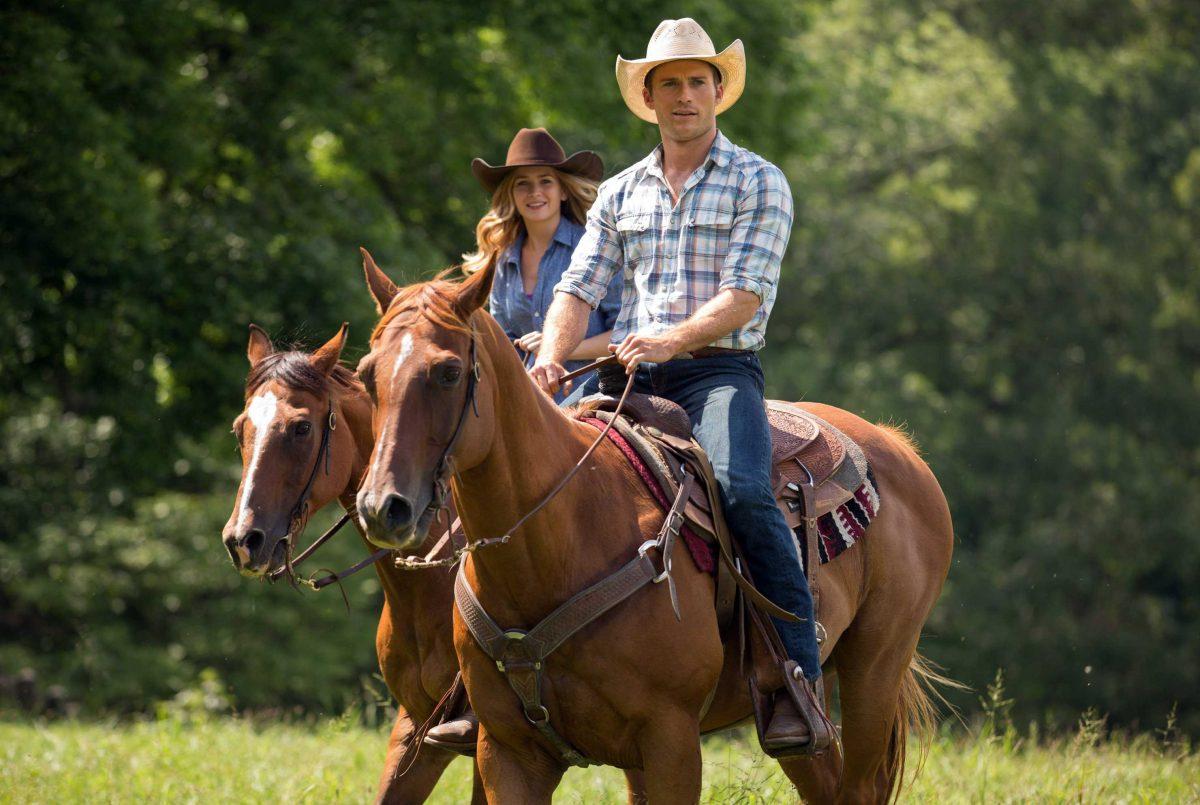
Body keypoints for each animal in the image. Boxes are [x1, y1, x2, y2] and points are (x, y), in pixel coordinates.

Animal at [355, 253, 955, 805]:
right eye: (366, 373)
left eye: (448, 372)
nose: (383, 506)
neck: (560, 539)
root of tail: (895, 444)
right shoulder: (507, 752)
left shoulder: (670, 742)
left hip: (874, 671)